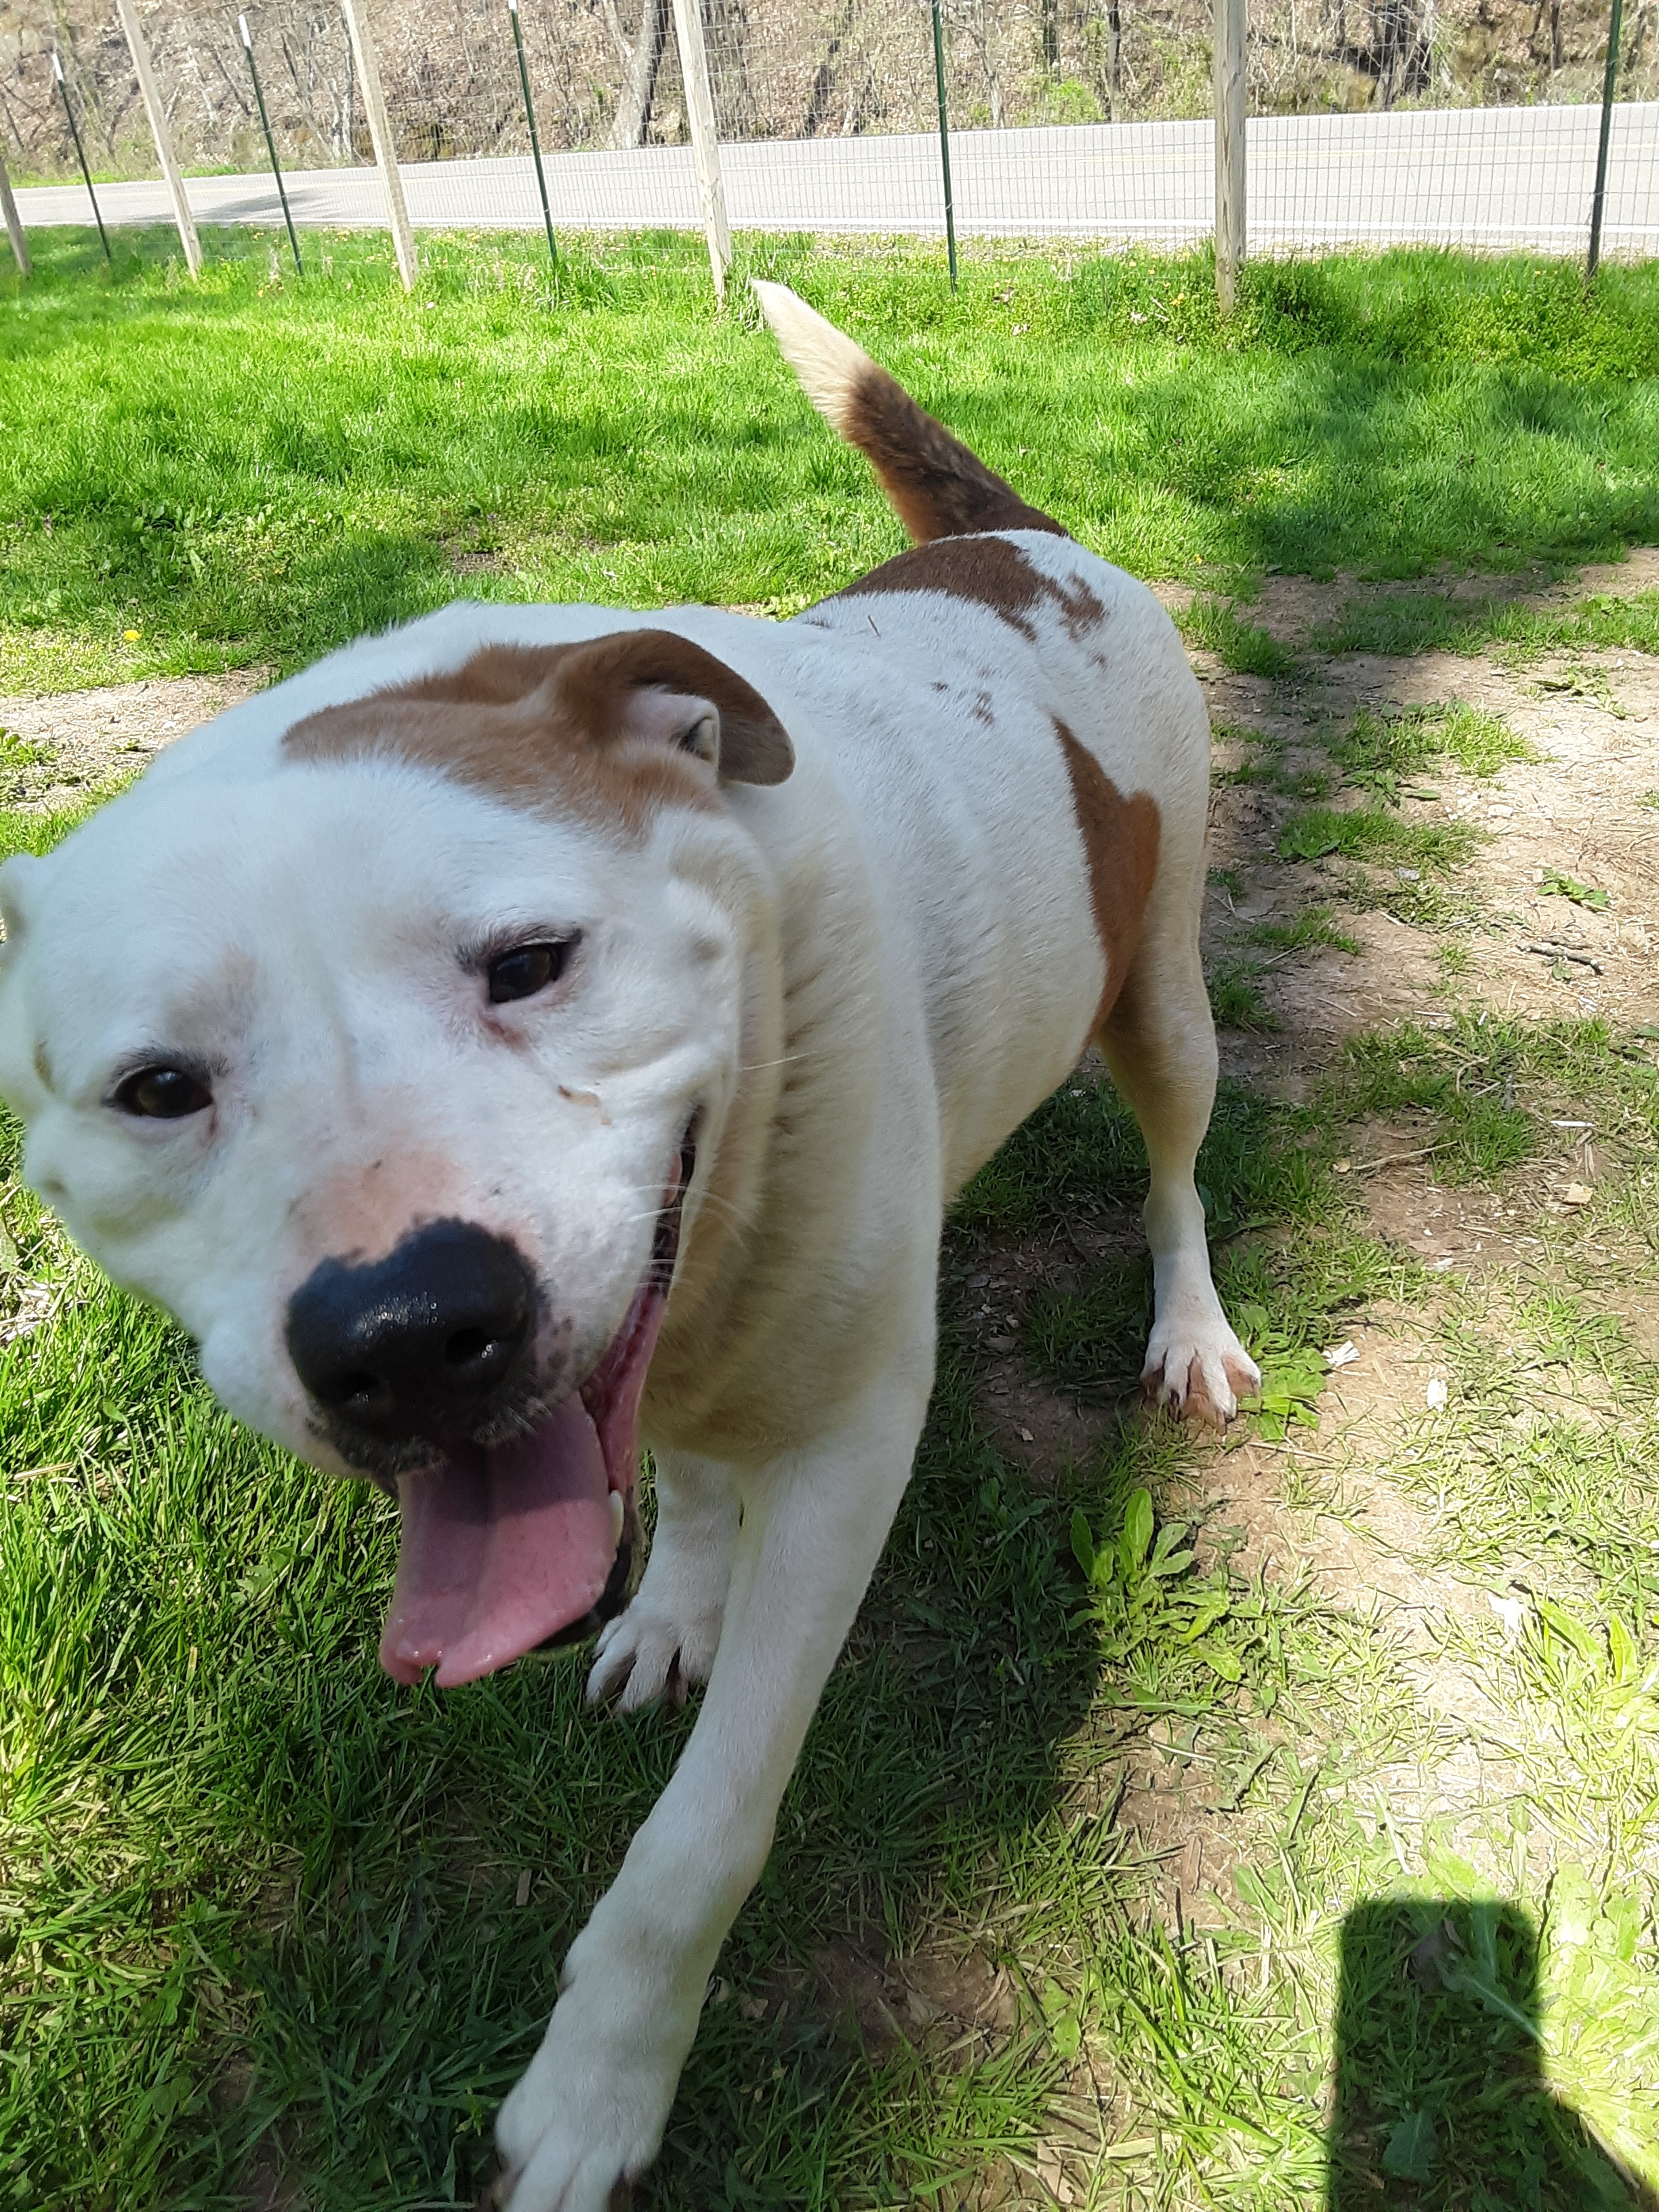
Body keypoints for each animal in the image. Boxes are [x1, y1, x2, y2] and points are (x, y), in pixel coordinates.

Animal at [0, 294, 1256, 2212]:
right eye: (158, 1089)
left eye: (530, 961)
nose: (403, 1331)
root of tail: (1021, 540)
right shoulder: (666, 1354)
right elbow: (678, 1479)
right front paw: (670, 1607)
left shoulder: (843, 1457)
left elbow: (699, 1839)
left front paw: (596, 2090)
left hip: (1163, 1001)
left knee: (1175, 1168)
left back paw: (1188, 1325)